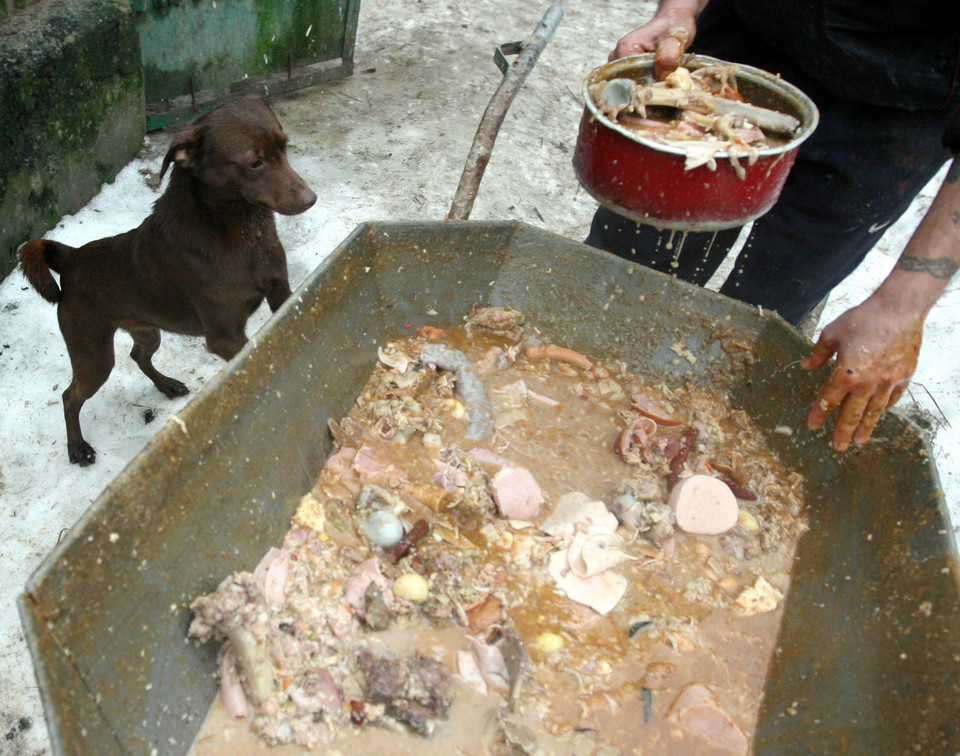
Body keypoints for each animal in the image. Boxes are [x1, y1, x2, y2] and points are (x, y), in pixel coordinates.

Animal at [18, 96, 316, 464]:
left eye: (285, 147)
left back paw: (166, 385)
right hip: (92, 355)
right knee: (70, 396)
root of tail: (71, 258)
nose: (311, 199)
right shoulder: (224, 336)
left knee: (138, 355)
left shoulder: (281, 292)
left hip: (147, 330)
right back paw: (77, 447)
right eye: (254, 162)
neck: (239, 232)